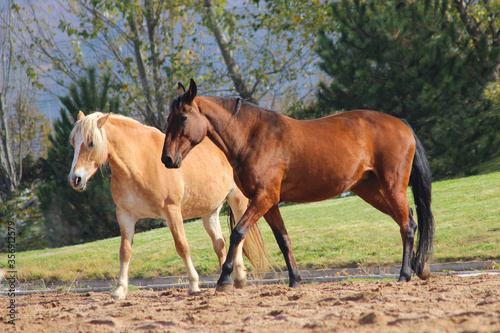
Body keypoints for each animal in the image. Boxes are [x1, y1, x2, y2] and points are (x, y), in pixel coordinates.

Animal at [69, 109, 270, 298]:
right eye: (73, 143)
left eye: (91, 143)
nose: (75, 179)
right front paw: (119, 290)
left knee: (239, 235)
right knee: (220, 244)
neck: (140, 162)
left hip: (237, 201)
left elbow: (182, 246)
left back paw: (239, 277)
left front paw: (194, 284)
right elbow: (125, 251)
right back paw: (225, 281)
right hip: (210, 212)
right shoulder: (125, 215)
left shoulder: (171, 210)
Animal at [161, 79, 434, 290]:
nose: (167, 159)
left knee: (407, 225)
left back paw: (404, 274)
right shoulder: (269, 203)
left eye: (183, 117)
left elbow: (238, 232)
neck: (253, 136)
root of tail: (401, 123)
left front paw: (224, 278)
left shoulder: (264, 198)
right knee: (409, 220)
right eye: (168, 117)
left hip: (392, 186)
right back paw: (418, 269)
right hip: (369, 189)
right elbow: (283, 239)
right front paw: (294, 280)